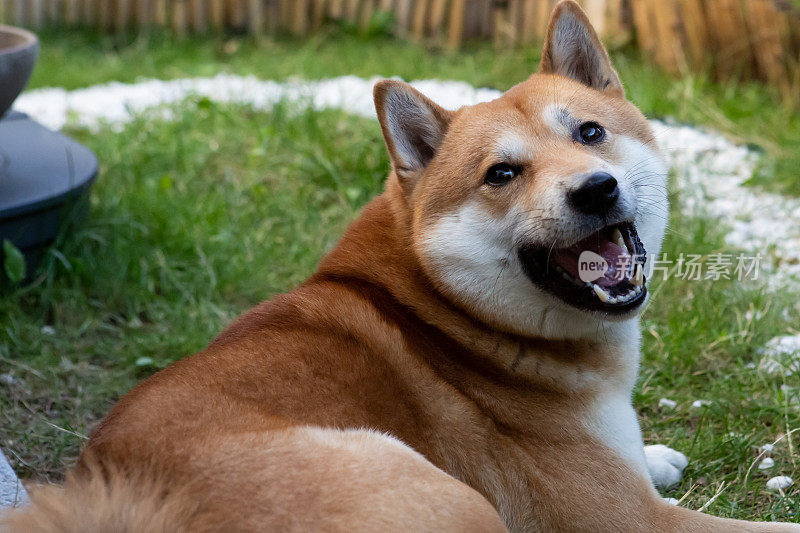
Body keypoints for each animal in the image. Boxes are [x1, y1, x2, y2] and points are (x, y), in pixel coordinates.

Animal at [3, 2, 796, 528]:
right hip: (441, 492)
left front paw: (654, 452)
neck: (450, 315)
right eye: (501, 174)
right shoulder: (635, 520)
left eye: (590, 133)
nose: (594, 189)